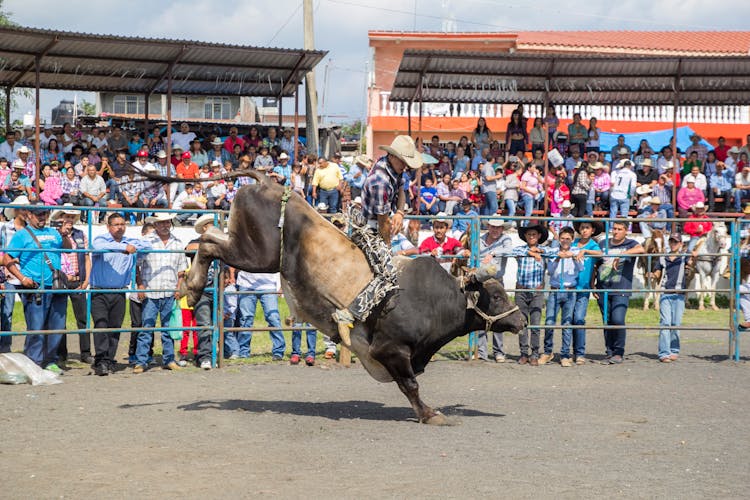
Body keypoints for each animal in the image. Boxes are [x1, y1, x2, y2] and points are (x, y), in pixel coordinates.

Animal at [159, 170, 524, 424]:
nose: (521, 319)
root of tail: (270, 185)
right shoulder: (389, 349)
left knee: (209, 236)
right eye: (495, 295)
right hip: (257, 254)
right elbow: (410, 385)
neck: (432, 299)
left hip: (248, 247)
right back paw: (192, 286)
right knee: (208, 242)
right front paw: (430, 414)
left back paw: (191, 283)